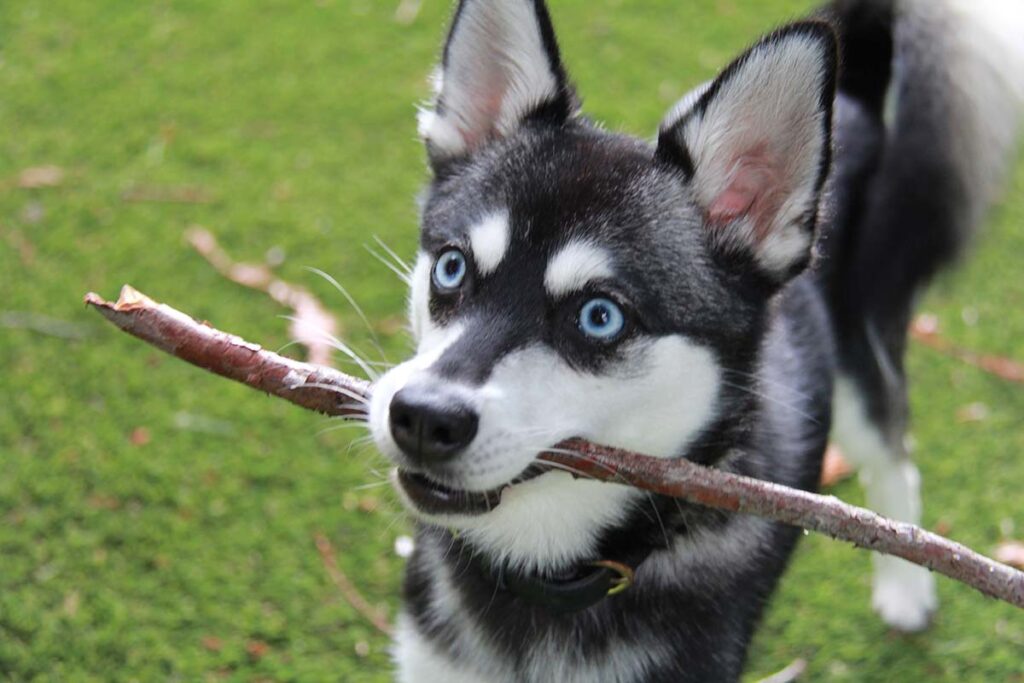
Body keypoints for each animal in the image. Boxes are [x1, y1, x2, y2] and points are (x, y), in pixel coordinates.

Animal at [366, 2, 1024, 679]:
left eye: (599, 316)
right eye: (451, 267)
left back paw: (906, 591)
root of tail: (850, 98)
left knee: (895, 458)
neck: (553, 576)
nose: (423, 417)